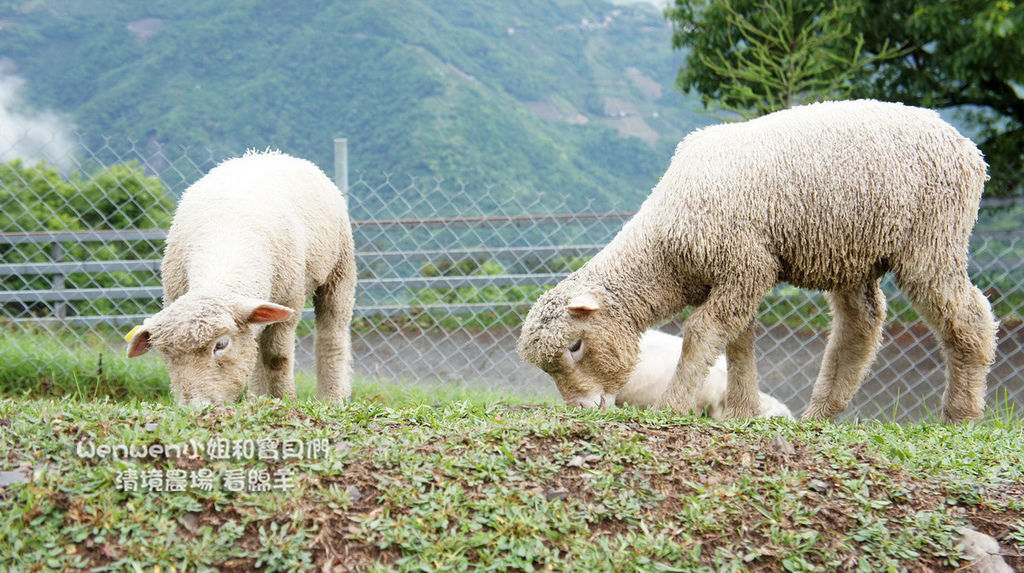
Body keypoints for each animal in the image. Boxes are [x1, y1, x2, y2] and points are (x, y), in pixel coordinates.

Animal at [125, 150, 356, 405]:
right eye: (165, 352)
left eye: (221, 344)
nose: (196, 407)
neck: (224, 246)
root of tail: (269, 154)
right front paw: (265, 401)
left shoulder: (289, 301)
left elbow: (276, 358)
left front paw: (284, 400)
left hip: (340, 270)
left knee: (332, 336)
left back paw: (332, 398)